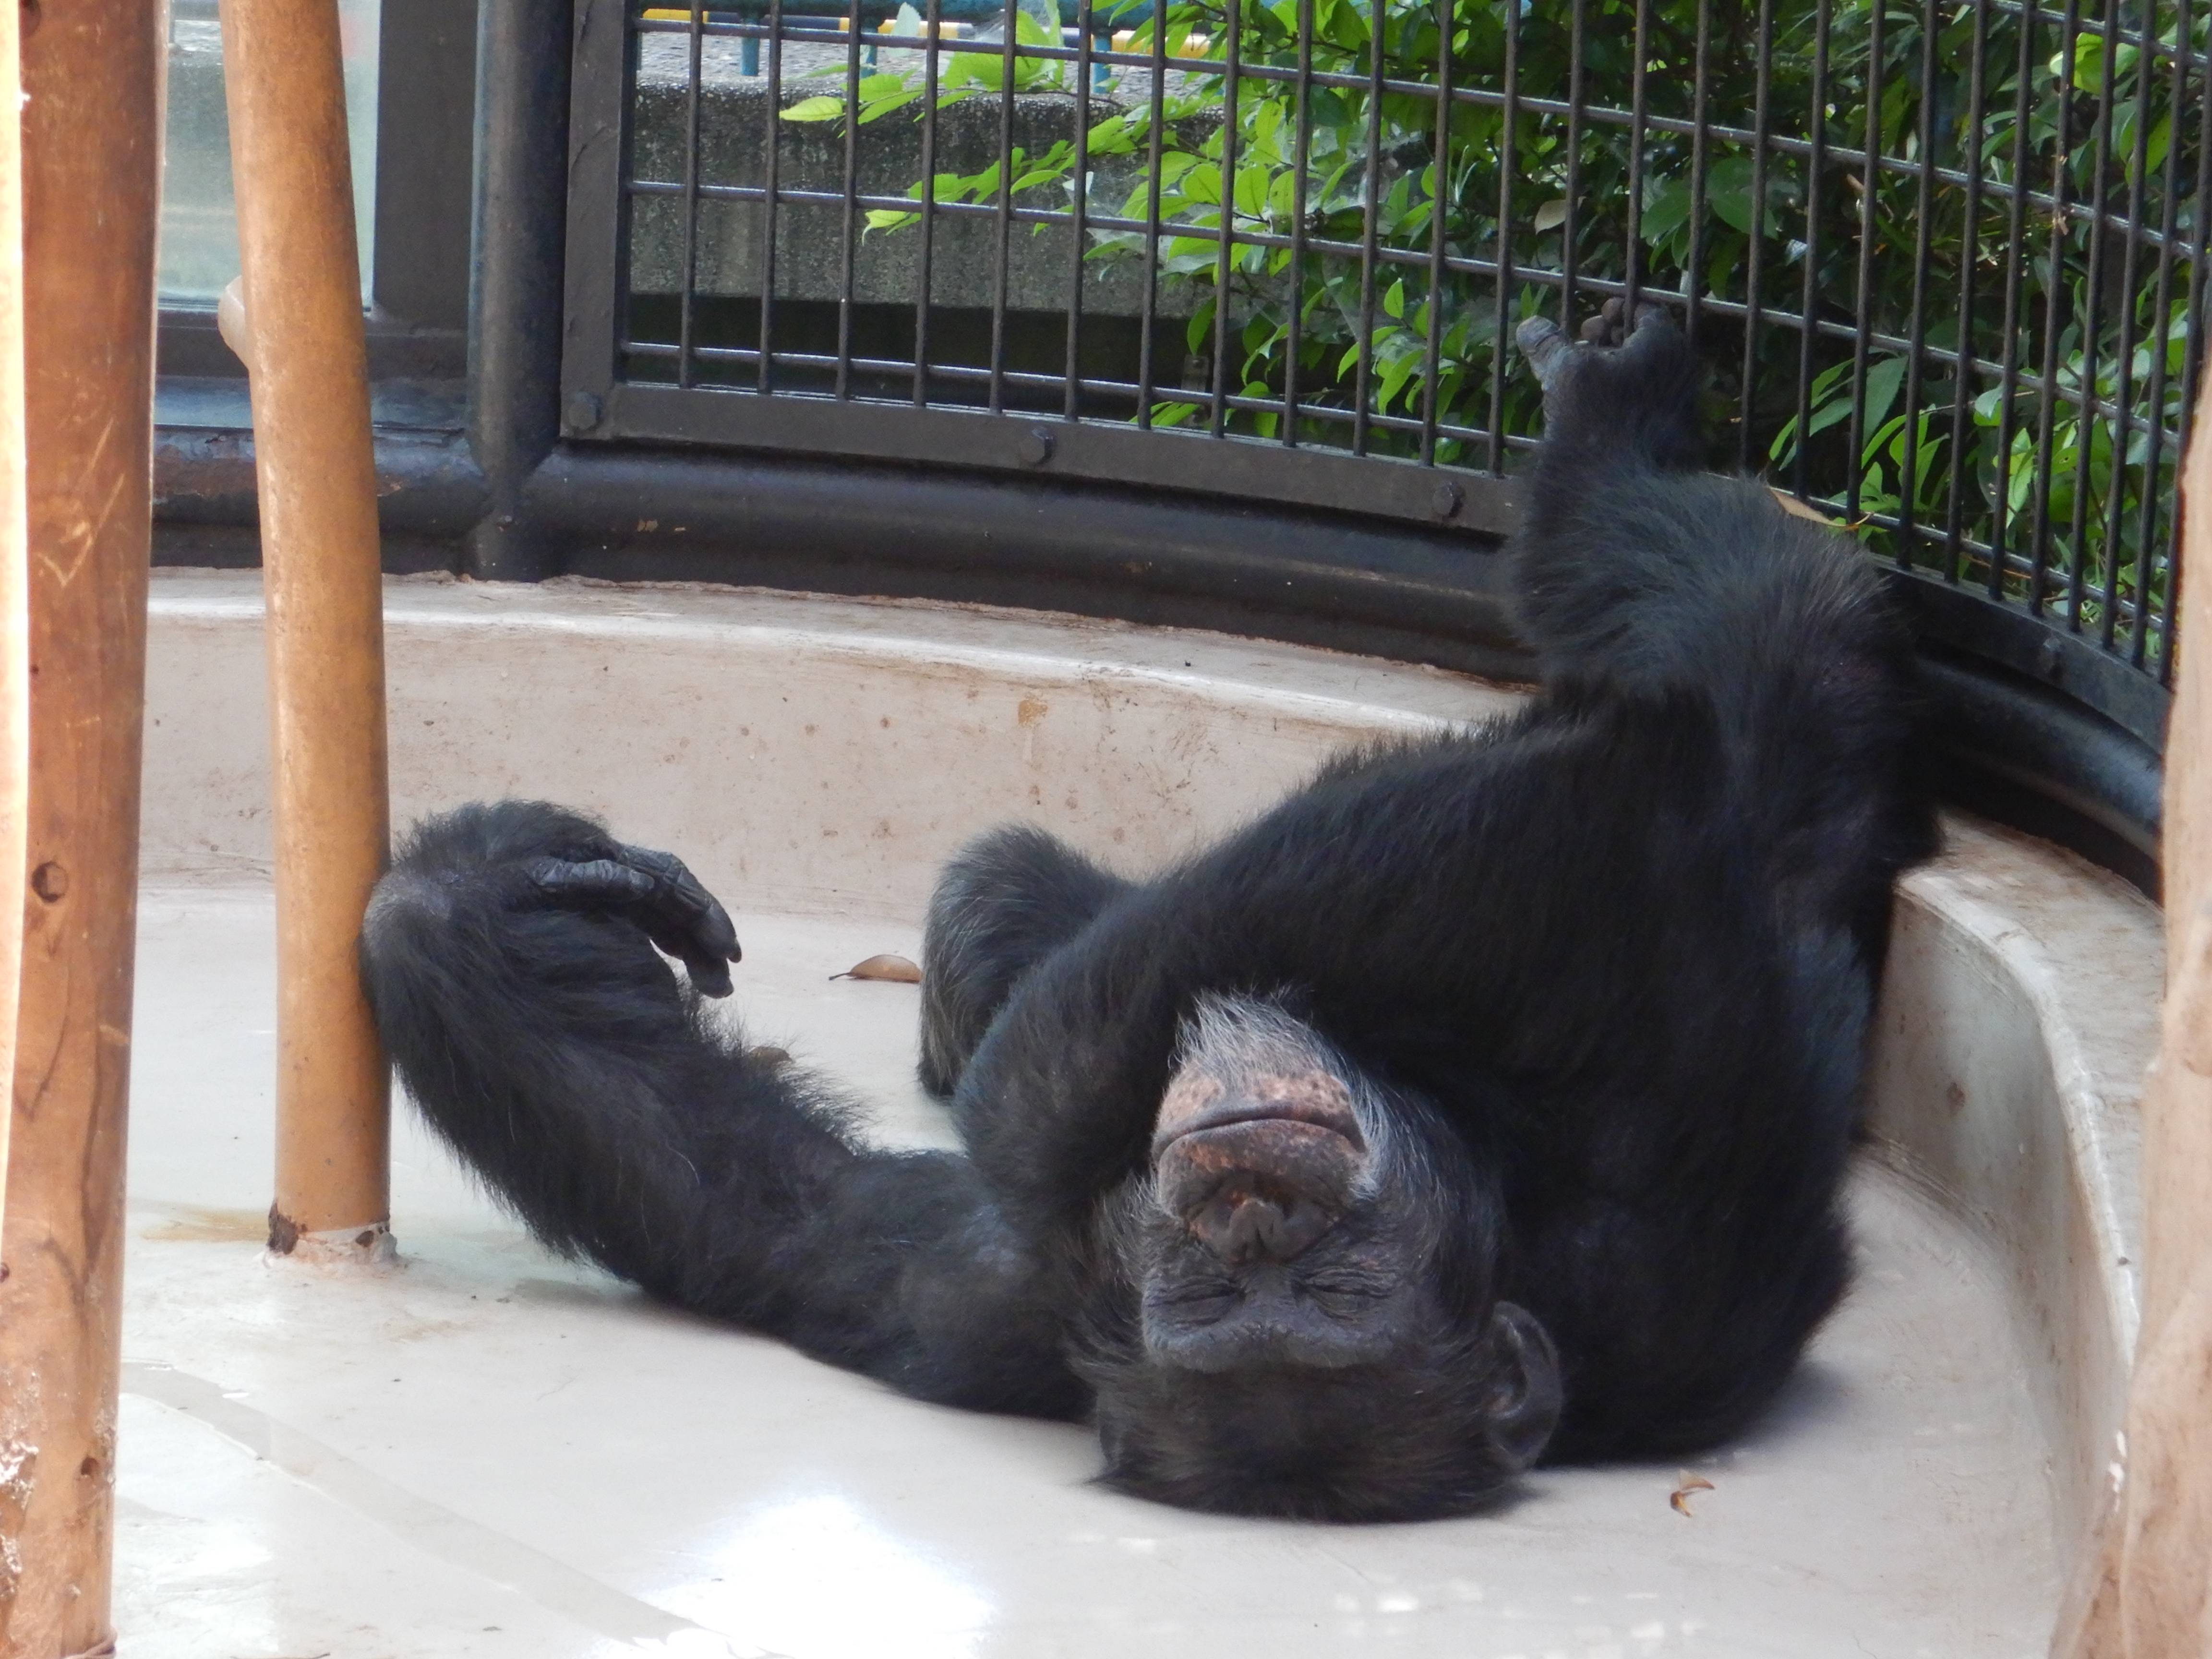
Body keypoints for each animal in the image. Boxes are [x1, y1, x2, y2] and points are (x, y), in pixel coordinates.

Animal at [362, 305, 1937, 1530]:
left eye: (1333, 1285)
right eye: (1212, 1286)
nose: (1246, 1190)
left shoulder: (1671, 1267)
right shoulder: (987, 1300)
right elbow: (762, 1202)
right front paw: (476, 896)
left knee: (1732, 625)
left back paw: (1602, 434)